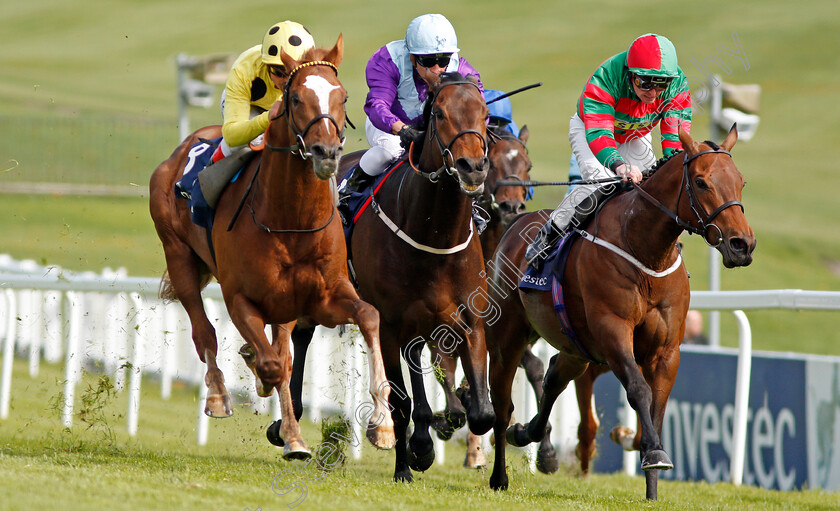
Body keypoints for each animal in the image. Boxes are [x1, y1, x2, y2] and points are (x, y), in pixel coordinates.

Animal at [148, 36, 394, 460]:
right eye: (295, 98)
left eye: (343, 95)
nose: (326, 152)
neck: (291, 221)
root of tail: (179, 152)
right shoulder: (240, 298)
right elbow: (273, 365)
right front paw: (288, 427)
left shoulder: (323, 296)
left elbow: (368, 316)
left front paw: (383, 424)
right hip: (178, 256)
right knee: (204, 332)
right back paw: (219, 395)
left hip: (284, 304)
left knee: (280, 349)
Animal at [486, 126, 756, 502]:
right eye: (701, 182)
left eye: (741, 181)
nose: (742, 245)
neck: (645, 250)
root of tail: (515, 224)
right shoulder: (612, 331)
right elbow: (639, 390)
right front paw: (655, 454)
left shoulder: (665, 351)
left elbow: (656, 410)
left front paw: (652, 485)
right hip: (508, 336)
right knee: (502, 403)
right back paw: (500, 474)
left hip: (576, 346)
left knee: (554, 376)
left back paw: (528, 435)